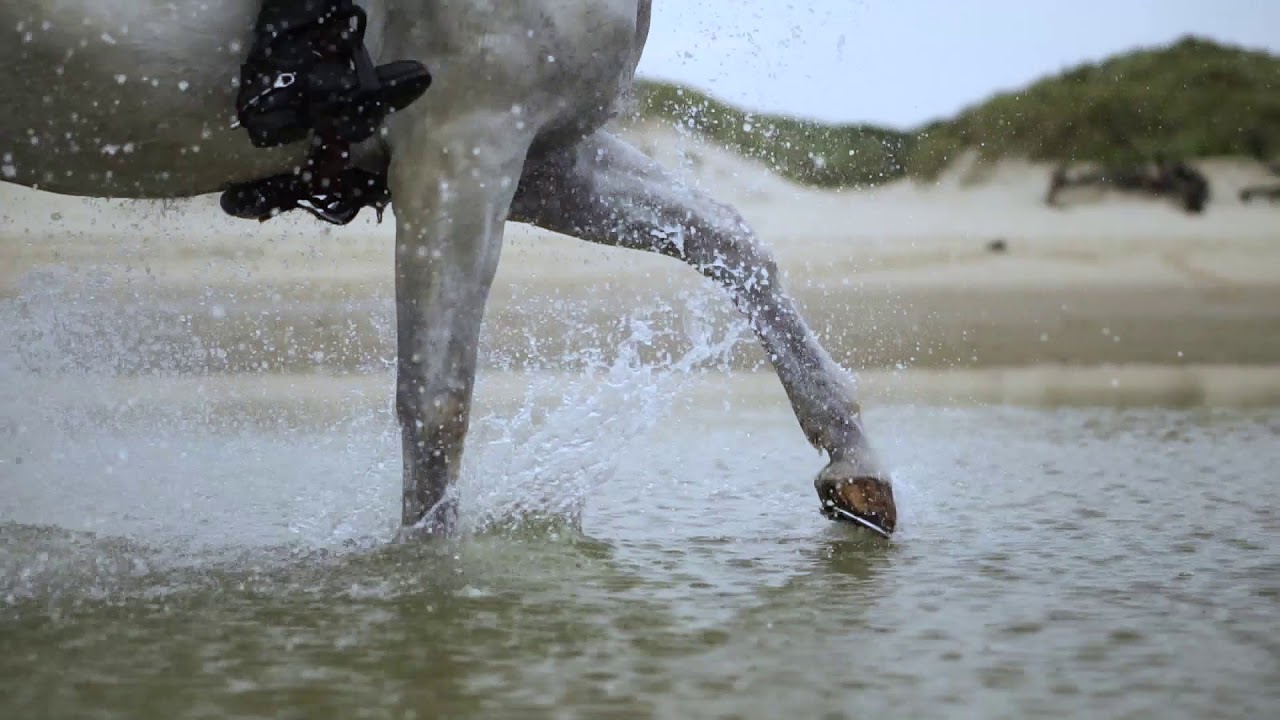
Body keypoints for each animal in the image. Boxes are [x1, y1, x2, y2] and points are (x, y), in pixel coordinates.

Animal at [1, 0, 897, 537]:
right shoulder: (462, 147)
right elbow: (438, 408)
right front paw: (425, 584)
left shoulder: (545, 161)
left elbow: (733, 243)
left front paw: (854, 469)